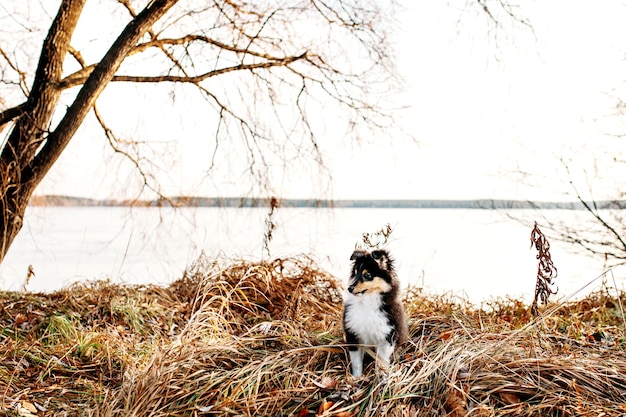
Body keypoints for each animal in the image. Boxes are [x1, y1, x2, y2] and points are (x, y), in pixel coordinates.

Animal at [338, 247, 408, 376]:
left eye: (367, 275)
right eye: (355, 272)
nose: (349, 288)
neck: (367, 303)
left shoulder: (386, 338)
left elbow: (382, 362)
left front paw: (382, 376)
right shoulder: (353, 336)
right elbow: (356, 363)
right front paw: (357, 378)